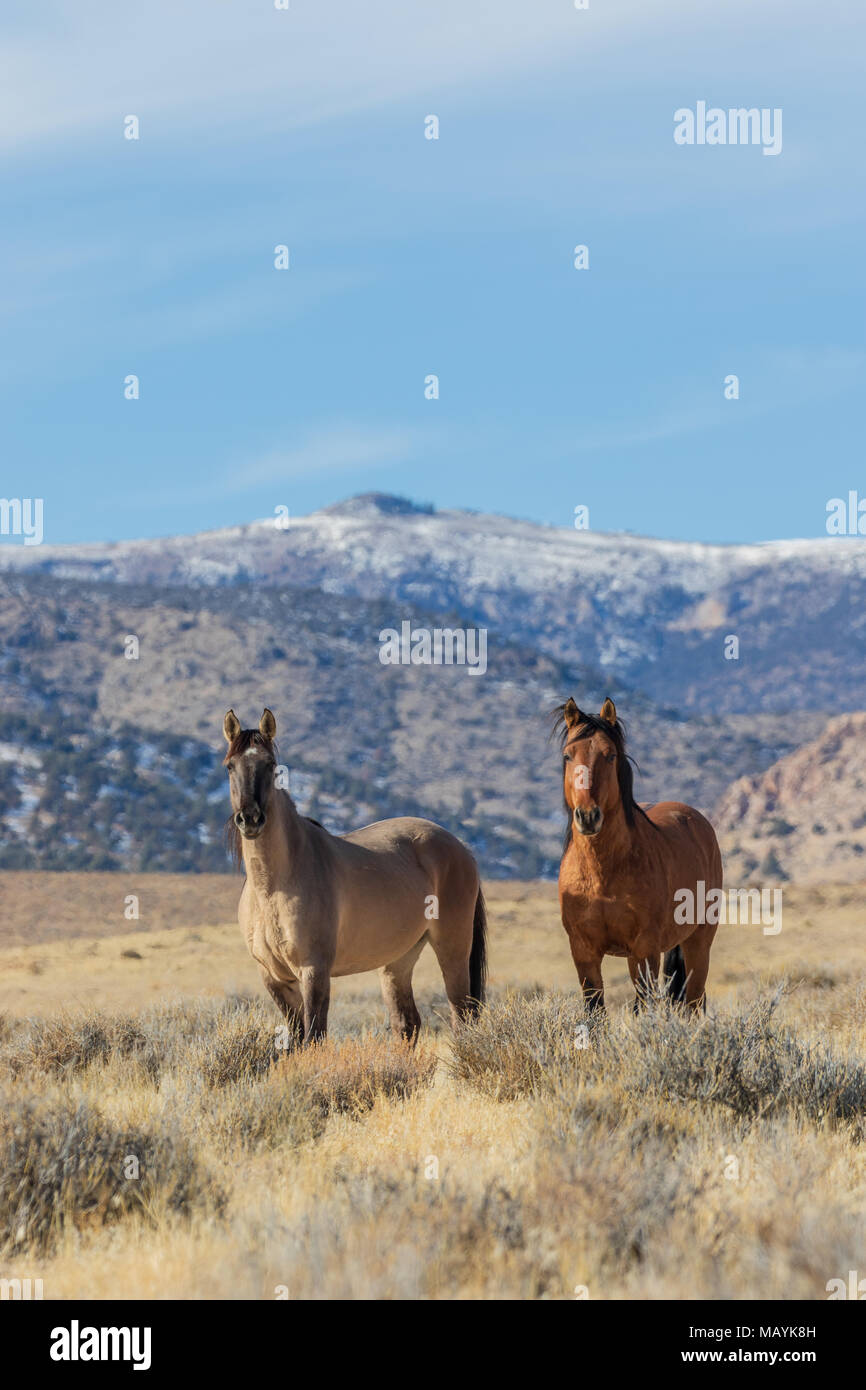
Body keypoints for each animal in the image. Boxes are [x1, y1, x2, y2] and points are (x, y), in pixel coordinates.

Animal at [222, 711, 489, 1039]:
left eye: (271, 765)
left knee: (462, 1016)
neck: (274, 888)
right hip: (398, 959)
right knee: (407, 1023)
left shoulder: (314, 971)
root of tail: (461, 848)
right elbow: (297, 1037)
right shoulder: (274, 978)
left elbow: (314, 1037)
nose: (250, 819)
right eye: (230, 765)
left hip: (453, 948)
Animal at [553, 695, 722, 1011]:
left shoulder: (643, 951)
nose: (588, 816)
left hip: (698, 942)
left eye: (610, 755)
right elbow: (595, 1011)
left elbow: (645, 1006)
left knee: (693, 1001)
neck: (602, 872)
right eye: (568, 756)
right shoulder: (584, 952)